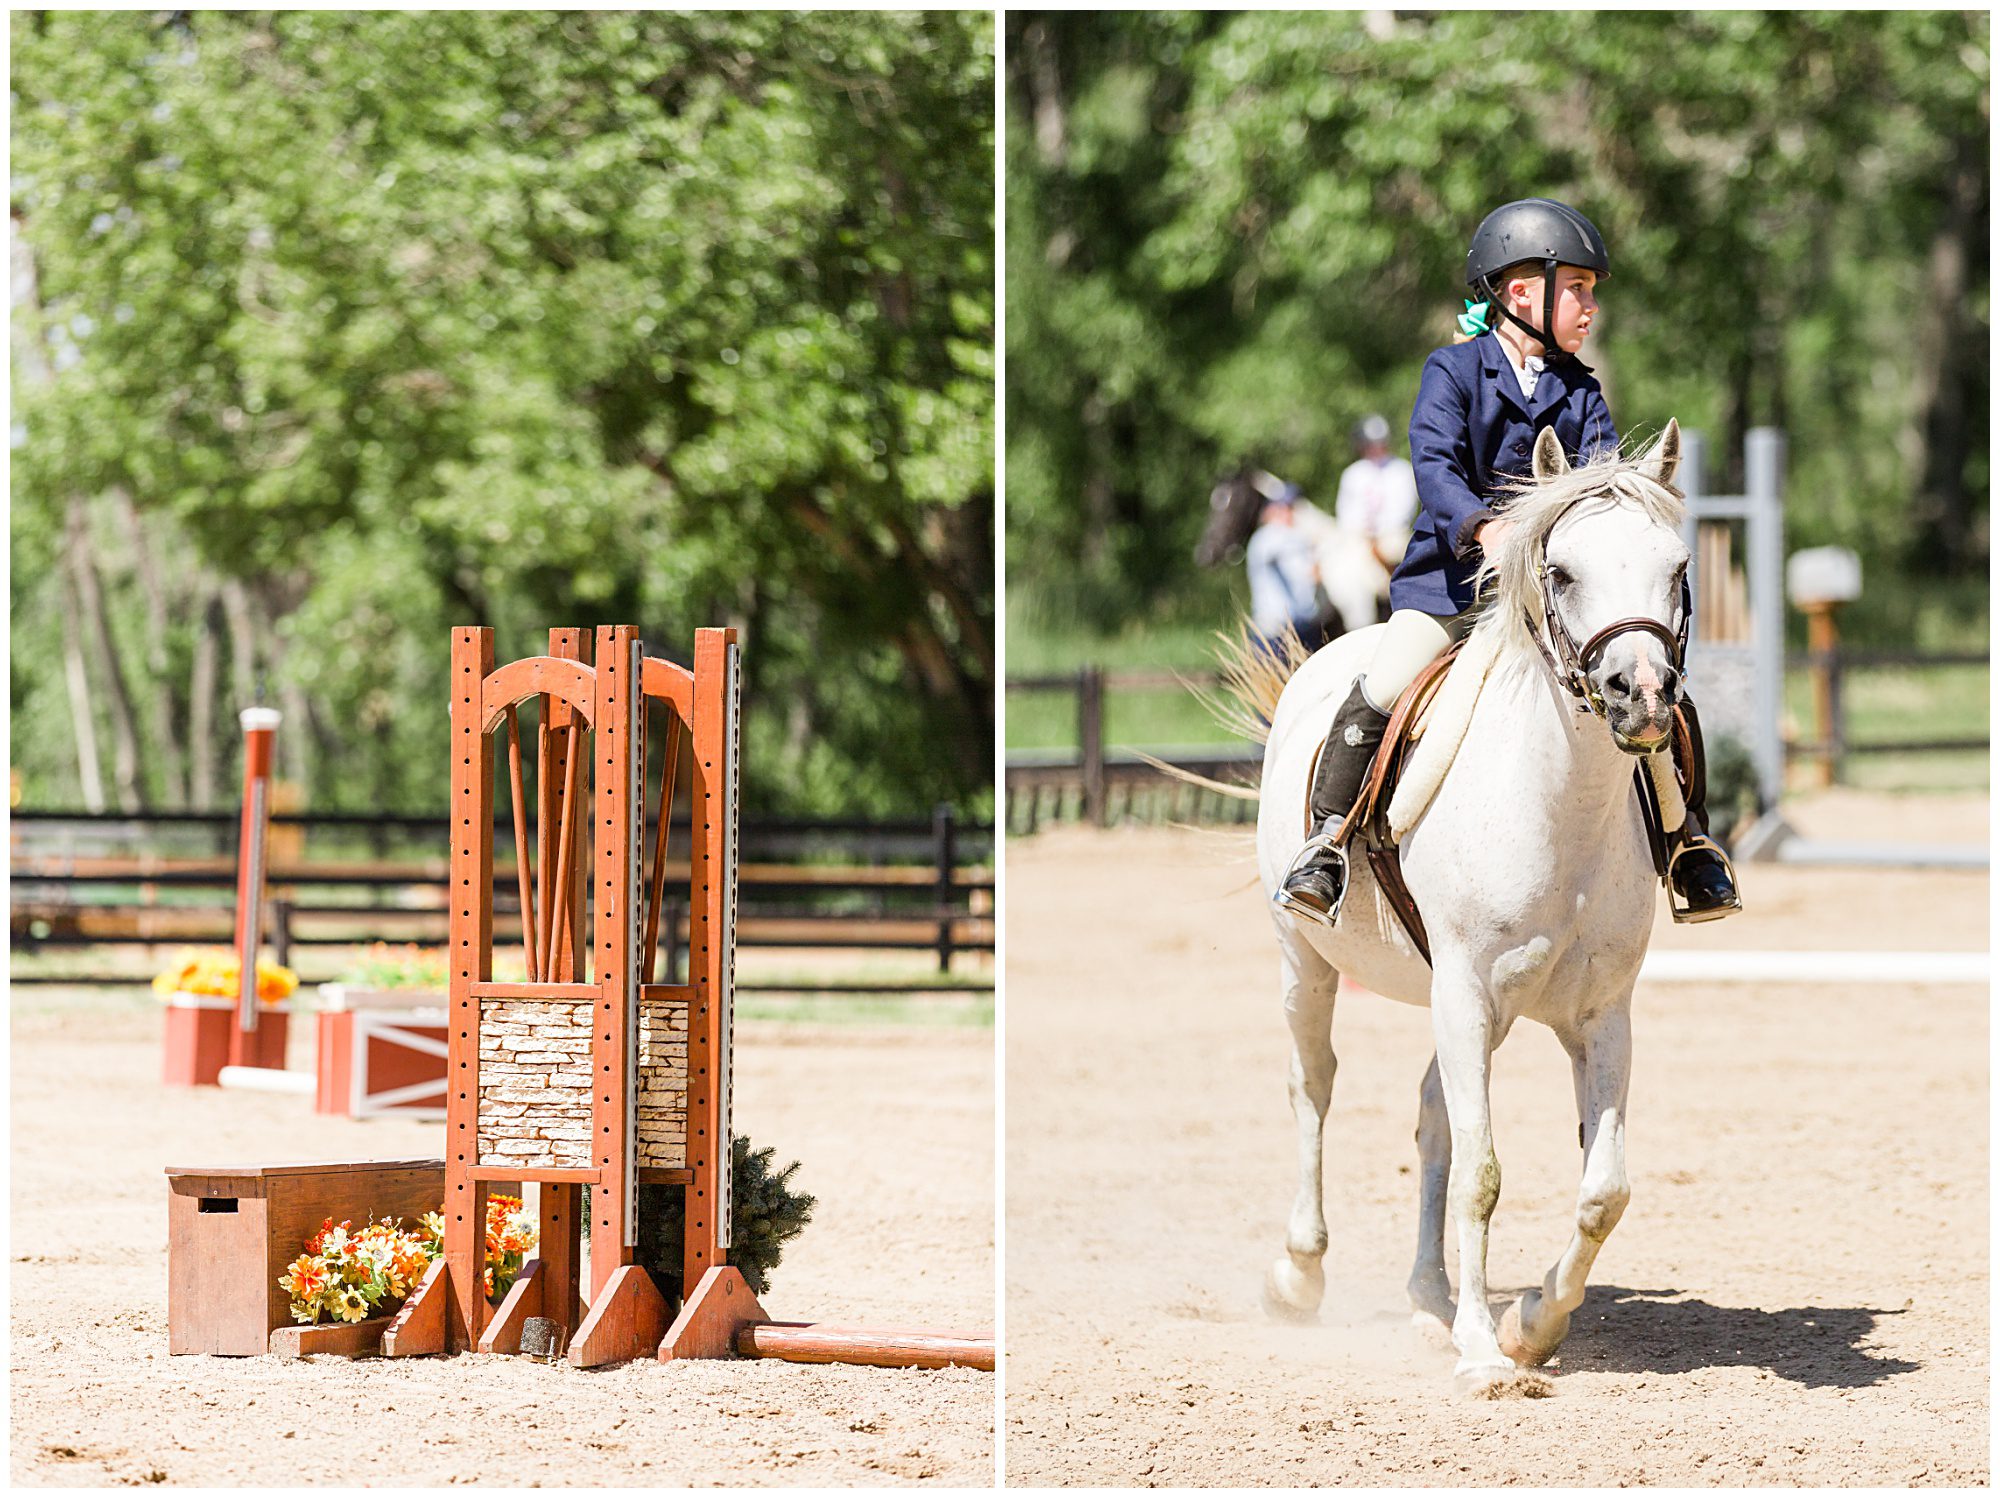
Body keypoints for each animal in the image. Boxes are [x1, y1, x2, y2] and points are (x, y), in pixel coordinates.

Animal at [1248, 418, 1688, 1392]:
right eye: (1562, 572)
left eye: (1678, 567)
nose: (1640, 695)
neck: (1560, 804)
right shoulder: (1465, 993)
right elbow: (1487, 1173)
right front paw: (1487, 1352)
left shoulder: (1599, 1013)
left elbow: (1603, 1190)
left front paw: (1531, 1323)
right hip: (1306, 963)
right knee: (1312, 1084)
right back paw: (1298, 1275)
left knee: (1433, 1118)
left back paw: (1426, 1299)